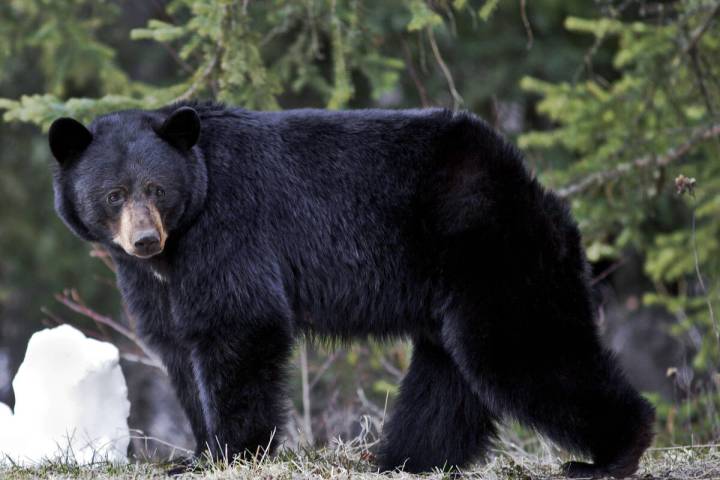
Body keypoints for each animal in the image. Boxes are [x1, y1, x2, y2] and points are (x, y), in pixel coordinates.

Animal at [46, 104, 652, 476]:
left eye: (156, 188)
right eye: (113, 194)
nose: (145, 239)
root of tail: (534, 190)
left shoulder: (230, 231)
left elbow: (241, 323)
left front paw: (230, 451)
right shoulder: (154, 280)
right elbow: (175, 341)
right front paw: (196, 450)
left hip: (493, 257)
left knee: (526, 349)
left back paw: (611, 455)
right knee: (448, 376)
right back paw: (406, 459)